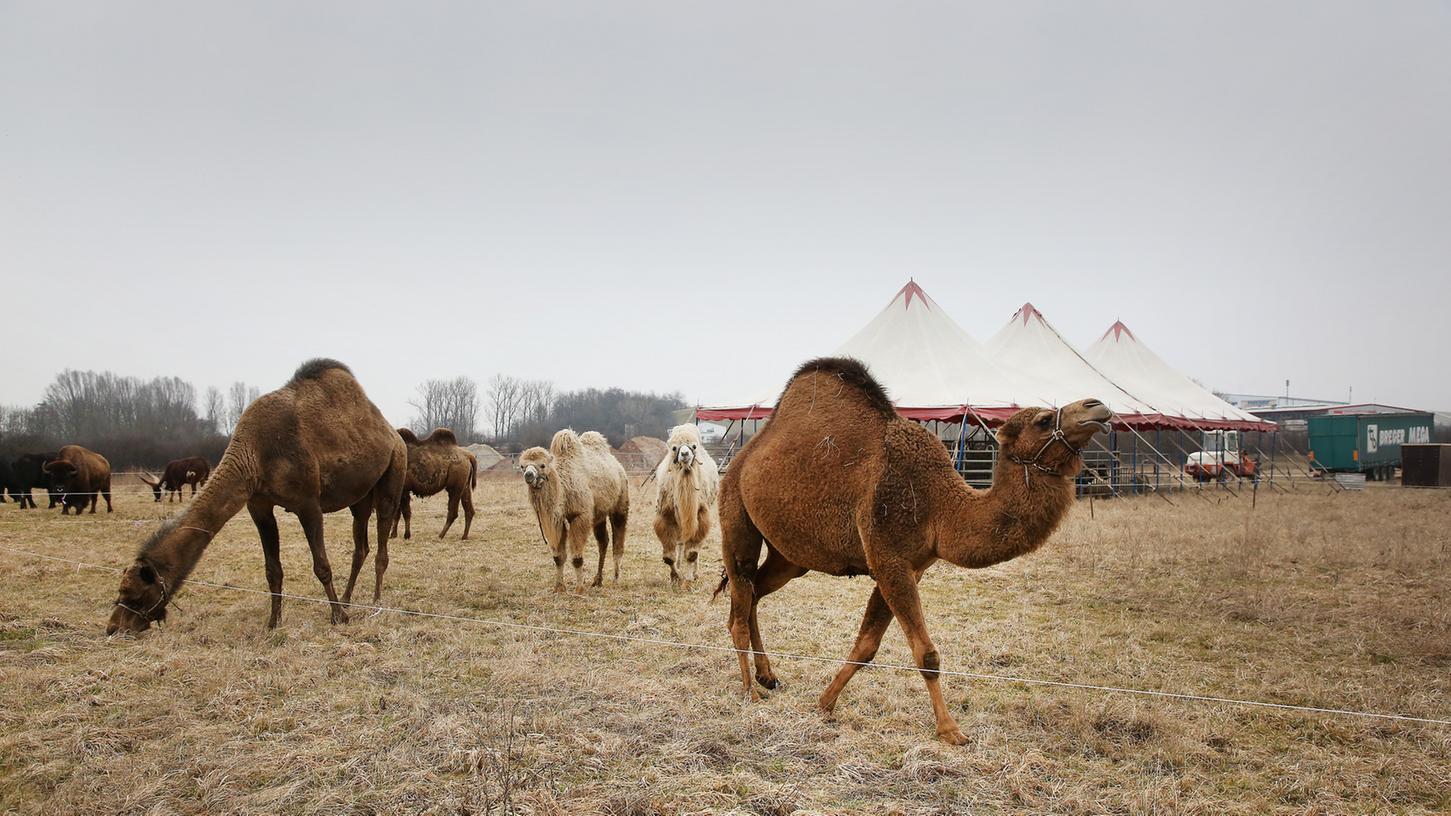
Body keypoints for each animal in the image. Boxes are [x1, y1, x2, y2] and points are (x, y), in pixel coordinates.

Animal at [105, 358, 409, 633]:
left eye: (135, 594)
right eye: (121, 591)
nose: (113, 627)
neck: (255, 454)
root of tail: (392, 432)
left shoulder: (308, 504)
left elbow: (322, 565)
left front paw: (337, 618)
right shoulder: (258, 505)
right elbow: (272, 569)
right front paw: (273, 623)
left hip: (393, 473)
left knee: (382, 544)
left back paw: (375, 601)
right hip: (360, 496)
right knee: (361, 546)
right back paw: (347, 599)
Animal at [716, 352, 1108, 740]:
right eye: (1043, 420)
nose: (1098, 406)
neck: (939, 503)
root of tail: (741, 457)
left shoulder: (910, 566)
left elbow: (867, 645)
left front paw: (824, 704)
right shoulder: (888, 557)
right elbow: (926, 655)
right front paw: (950, 730)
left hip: (789, 557)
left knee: (753, 594)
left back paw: (768, 676)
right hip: (735, 517)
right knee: (740, 596)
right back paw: (749, 690)